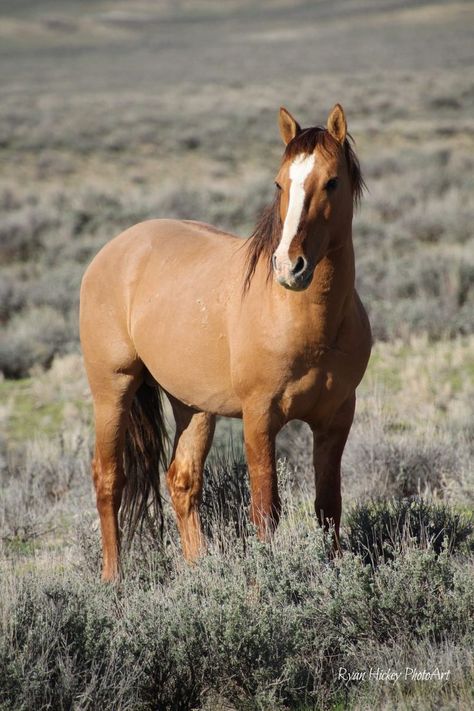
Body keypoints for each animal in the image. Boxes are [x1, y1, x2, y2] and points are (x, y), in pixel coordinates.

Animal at [79, 107, 372, 584]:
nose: (289, 267)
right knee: (109, 479)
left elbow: (328, 507)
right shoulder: (260, 418)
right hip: (113, 391)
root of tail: (114, 249)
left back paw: (198, 572)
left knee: (182, 480)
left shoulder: (335, 419)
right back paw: (113, 581)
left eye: (332, 182)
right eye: (279, 183)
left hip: (192, 406)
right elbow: (265, 511)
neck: (305, 320)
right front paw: (265, 585)